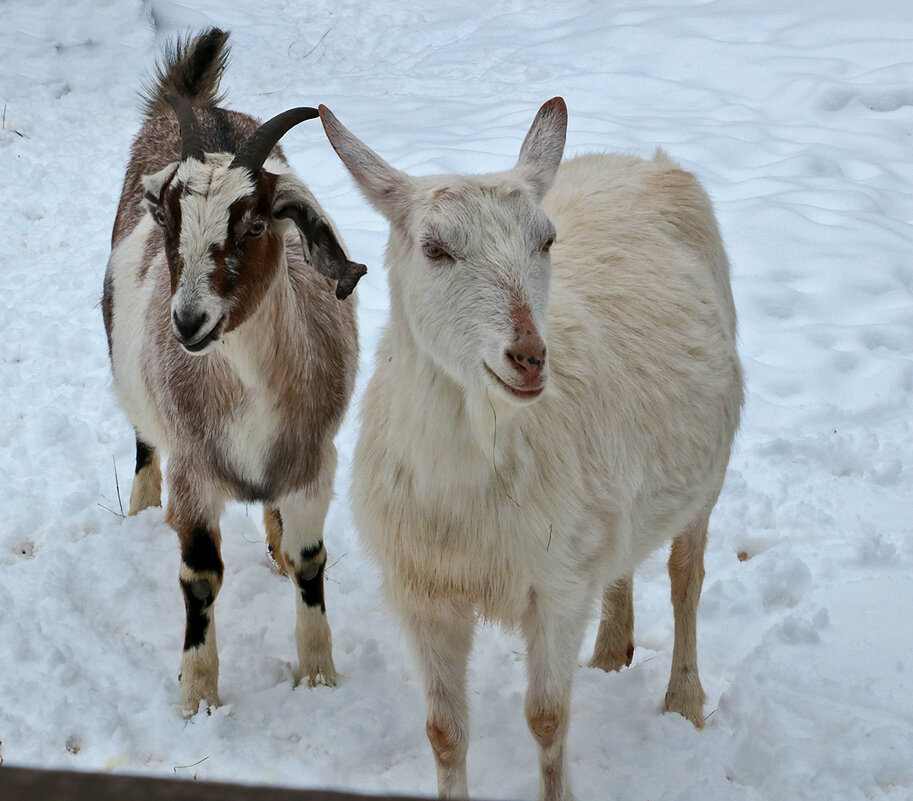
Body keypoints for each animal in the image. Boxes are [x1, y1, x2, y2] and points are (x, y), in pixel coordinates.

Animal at [102, 28, 364, 708]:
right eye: (168, 221)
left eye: (254, 224)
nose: (188, 321)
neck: (249, 386)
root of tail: (196, 103)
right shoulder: (195, 470)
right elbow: (199, 577)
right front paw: (198, 697)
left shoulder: (313, 463)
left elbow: (309, 561)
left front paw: (318, 677)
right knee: (143, 436)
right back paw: (142, 506)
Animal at [320, 97, 740, 796]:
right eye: (434, 248)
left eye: (546, 240)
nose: (529, 356)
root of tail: (644, 160)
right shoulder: (422, 591)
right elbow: (444, 733)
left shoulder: (557, 587)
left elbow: (547, 720)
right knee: (625, 560)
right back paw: (611, 653)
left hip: (709, 471)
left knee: (687, 576)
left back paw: (684, 699)